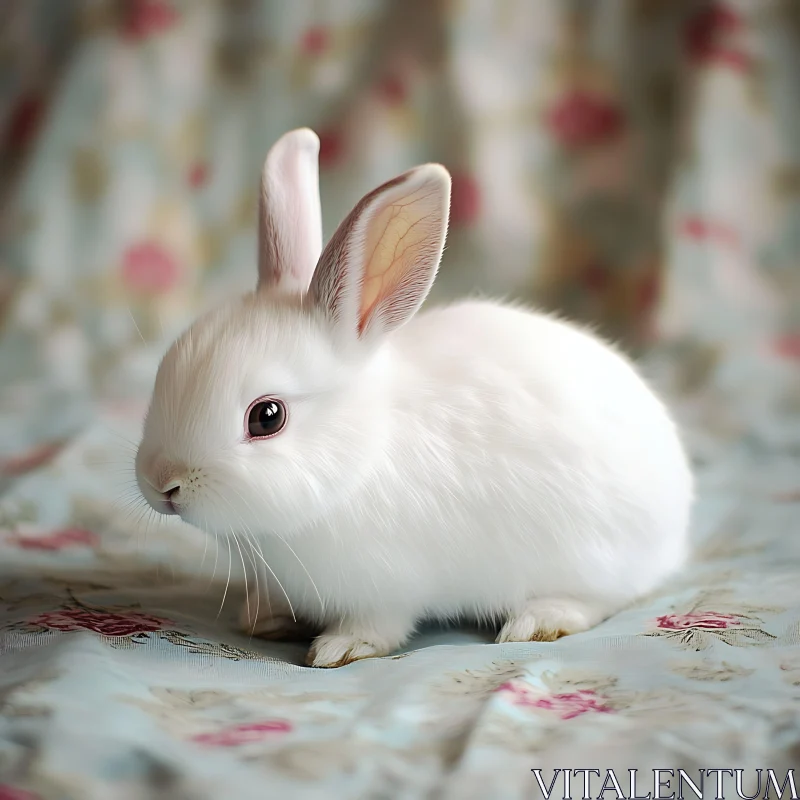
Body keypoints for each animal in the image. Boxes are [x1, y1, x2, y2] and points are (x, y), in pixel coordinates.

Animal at [134, 128, 692, 664]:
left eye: (267, 417)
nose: (164, 484)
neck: (359, 454)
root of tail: (678, 504)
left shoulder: (388, 587)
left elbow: (379, 625)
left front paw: (340, 647)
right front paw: (263, 617)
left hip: (591, 555)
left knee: (600, 600)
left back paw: (538, 619)